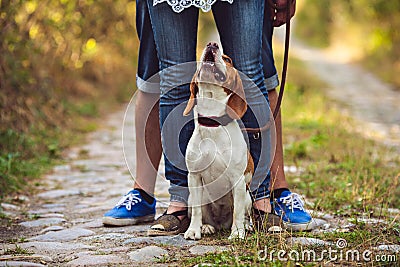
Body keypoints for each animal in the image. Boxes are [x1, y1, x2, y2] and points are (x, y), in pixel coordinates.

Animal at [184, 42, 253, 241]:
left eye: (227, 59)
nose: (212, 44)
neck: (212, 123)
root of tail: (222, 224)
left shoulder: (238, 180)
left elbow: (237, 212)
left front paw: (237, 233)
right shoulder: (194, 177)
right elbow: (197, 211)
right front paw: (194, 230)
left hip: (248, 196)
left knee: (244, 214)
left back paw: (246, 226)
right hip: (193, 197)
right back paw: (207, 227)